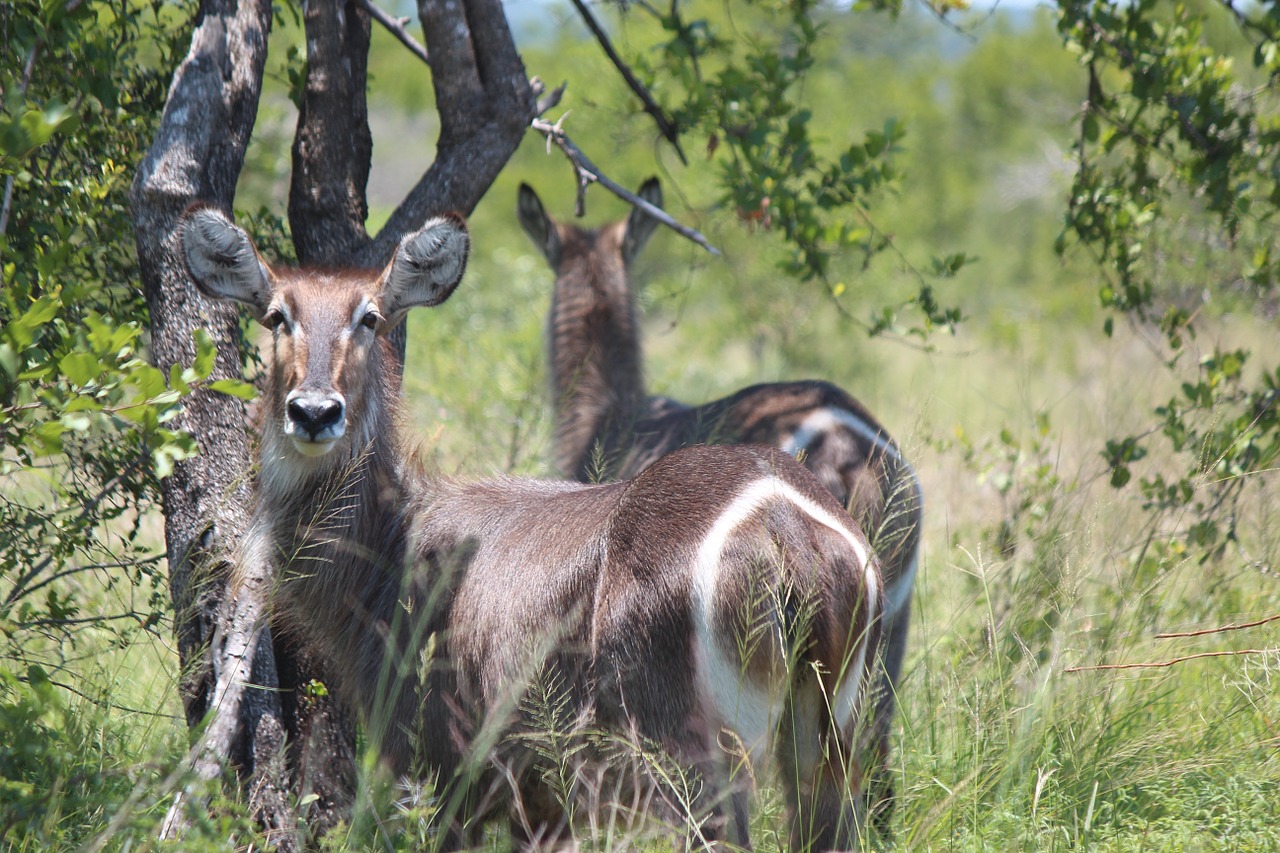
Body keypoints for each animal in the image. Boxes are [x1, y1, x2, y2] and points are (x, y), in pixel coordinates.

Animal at [180, 202, 885, 845]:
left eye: (369, 317)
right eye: (278, 315)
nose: (314, 412)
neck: (399, 543)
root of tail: (784, 522)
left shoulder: (460, 769)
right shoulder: (541, 804)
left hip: (692, 757)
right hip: (829, 743)